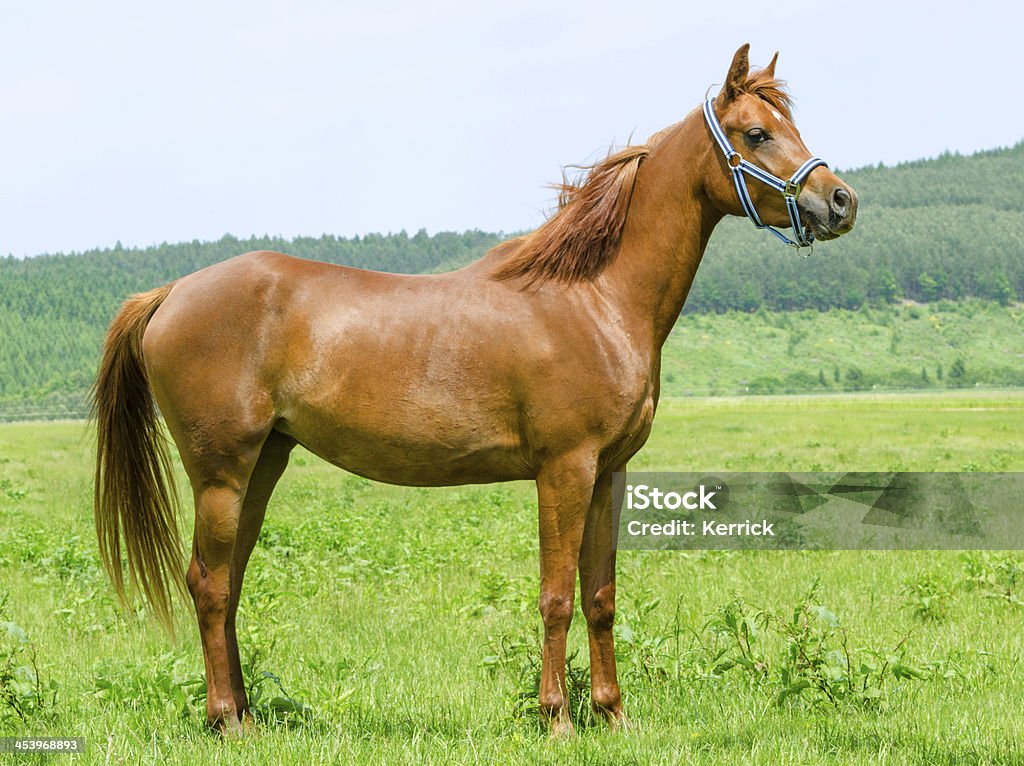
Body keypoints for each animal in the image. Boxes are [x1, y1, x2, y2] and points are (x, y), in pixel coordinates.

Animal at [92, 43, 856, 737]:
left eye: (790, 124)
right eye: (756, 134)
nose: (840, 201)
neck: (595, 298)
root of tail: (171, 293)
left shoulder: (608, 472)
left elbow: (601, 596)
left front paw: (612, 715)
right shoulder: (565, 469)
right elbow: (556, 595)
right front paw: (557, 719)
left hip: (264, 464)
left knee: (231, 583)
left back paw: (247, 714)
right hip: (221, 473)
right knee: (210, 583)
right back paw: (228, 719)